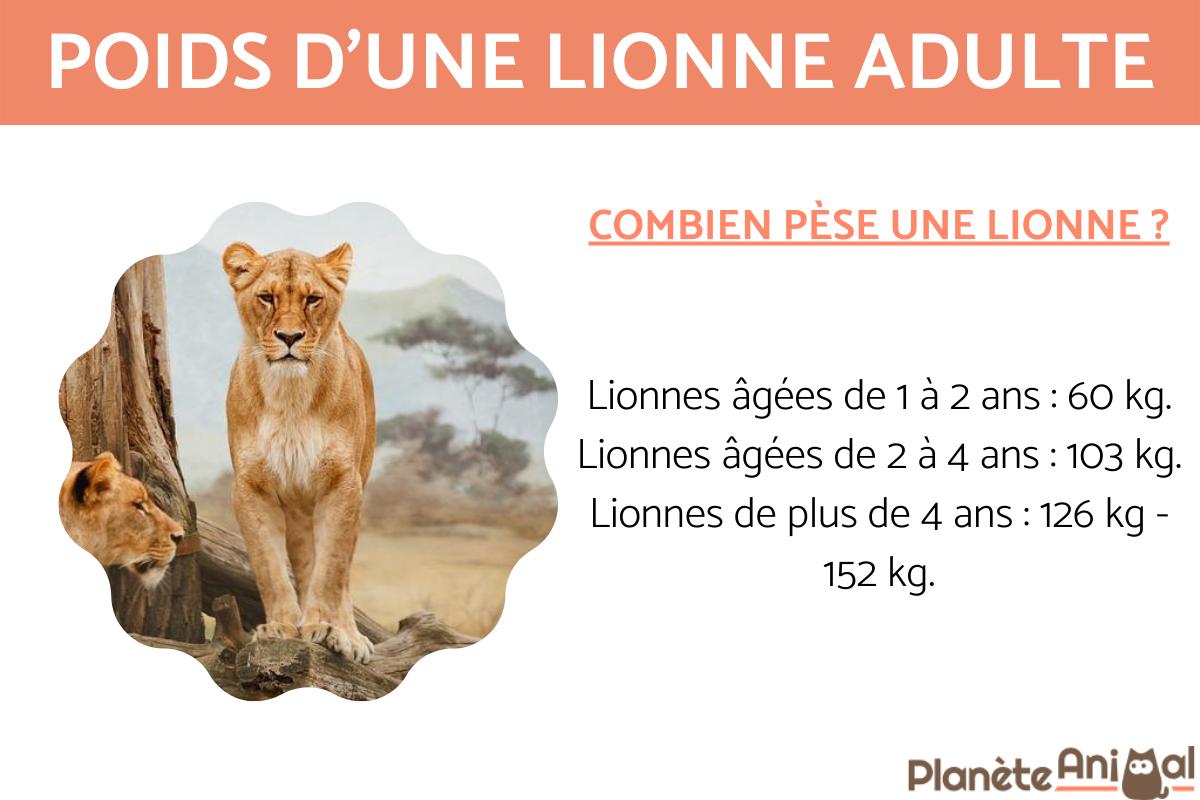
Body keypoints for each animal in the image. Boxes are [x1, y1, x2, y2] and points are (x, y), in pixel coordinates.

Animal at [222, 241, 376, 664]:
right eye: (266, 297)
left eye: (312, 299)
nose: (289, 336)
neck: (290, 395)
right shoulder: (251, 488)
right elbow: (270, 567)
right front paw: (281, 627)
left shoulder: (342, 484)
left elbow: (332, 570)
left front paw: (325, 628)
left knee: (342, 571)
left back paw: (349, 636)